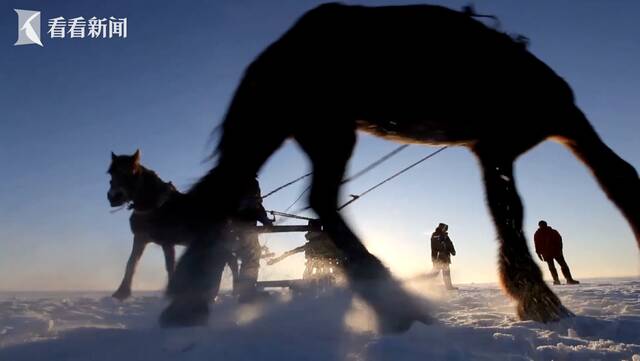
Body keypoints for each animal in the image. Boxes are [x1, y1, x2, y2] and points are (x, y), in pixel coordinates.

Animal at [106, 149, 239, 298]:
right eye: (111, 173)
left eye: (132, 171)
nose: (113, 196)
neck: (156, 206)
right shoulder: (141, 239)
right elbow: (131, 263)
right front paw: (121, 293)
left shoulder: (167, 242)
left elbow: (170, 266)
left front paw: (171, 292)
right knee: (229, 262)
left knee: (231, 262)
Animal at [161, 2, 640, 330]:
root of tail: (278, 48)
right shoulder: (500, 145)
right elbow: (514, 218)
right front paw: (539, 301)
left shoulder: (520, 141)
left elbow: (608, 183)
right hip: (322, 128)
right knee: (309, 200)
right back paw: (393, 303)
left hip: (293, 129)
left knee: (237, 194)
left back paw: (187, 304)